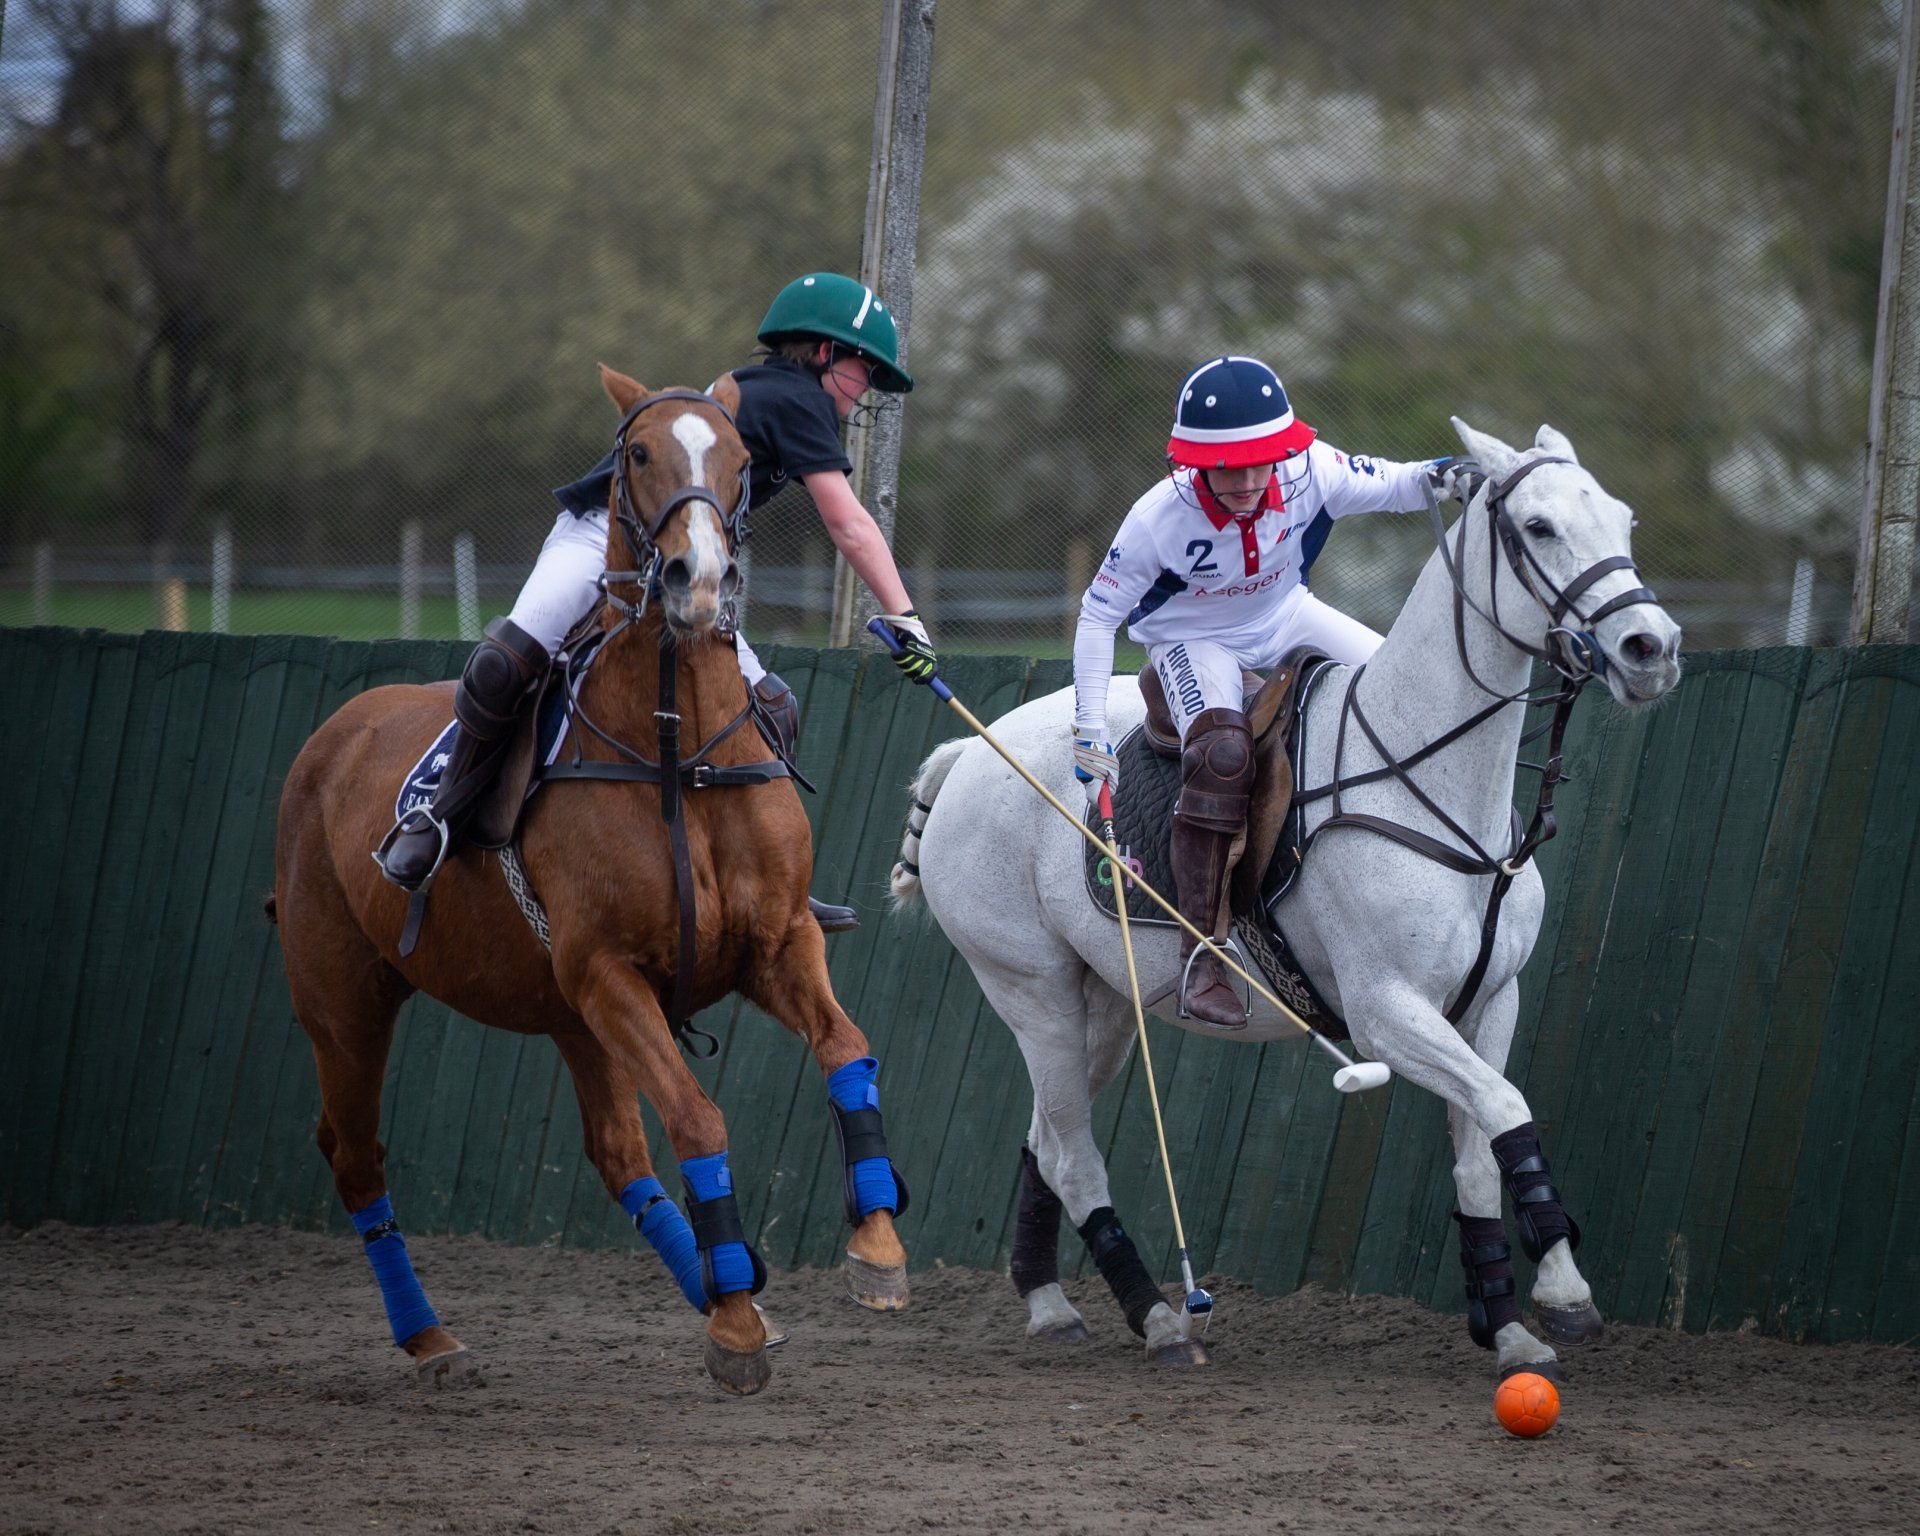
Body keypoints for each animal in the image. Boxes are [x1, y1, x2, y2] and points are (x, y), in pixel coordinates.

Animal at [271, 366, 910, 1396]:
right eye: (638, 453)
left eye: (741, 460)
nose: (696, 581)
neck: (680, 753)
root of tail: (334, 732)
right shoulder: (610, 972)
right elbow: (698, 1117)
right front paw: (735, 1329)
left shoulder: (776, 943)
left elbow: (847, 1048)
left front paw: (874, 1252)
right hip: (345, 998)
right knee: (356, 1154)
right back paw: (431, 1337)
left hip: (567, 1014)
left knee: (615, 1153)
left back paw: (724, 1290)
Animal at [890, 419, 1682, 1378]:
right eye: (1537, 526)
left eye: (1623, 519)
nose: (1651, 650)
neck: (1431, 780)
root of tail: (968, 754)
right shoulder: (1385, 1013)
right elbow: (1506, 1108)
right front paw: (1562, 1296)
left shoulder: (1491, 1000)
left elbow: (1484, 1153)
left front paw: (1509, 1324)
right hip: (1030, 989)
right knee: (1075, 1155)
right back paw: (1159, 1315)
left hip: (1106, 1003)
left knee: (1048, 1136)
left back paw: (1050, 1302)